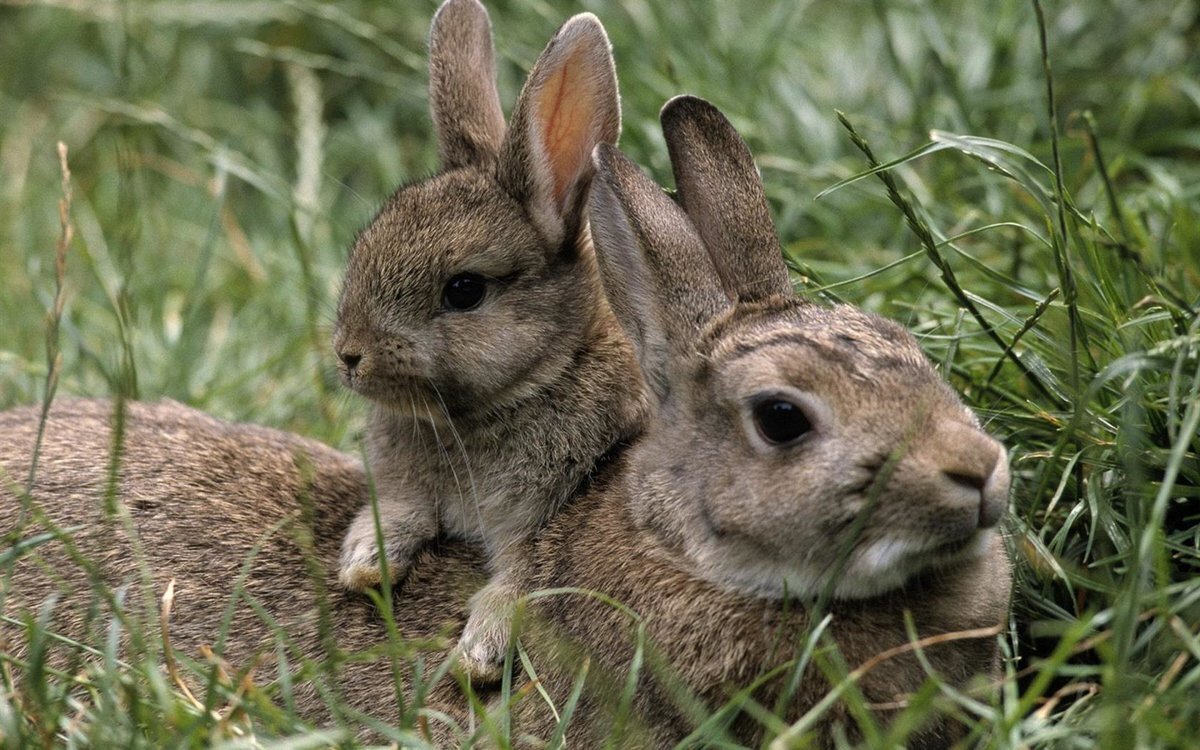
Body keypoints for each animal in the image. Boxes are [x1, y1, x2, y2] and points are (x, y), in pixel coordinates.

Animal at [328, 0, 648, 681]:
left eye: (465, 290)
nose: (349, 355)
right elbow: (400, 509)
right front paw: (365, 563)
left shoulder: (551, 513)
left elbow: (523, 578)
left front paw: (478, 654)